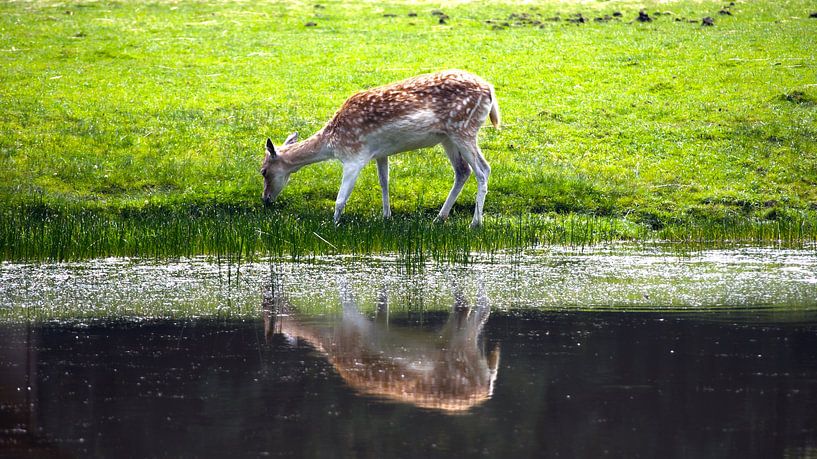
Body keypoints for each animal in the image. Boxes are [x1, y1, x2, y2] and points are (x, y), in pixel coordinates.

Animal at [260, 70, 500, 227]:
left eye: (263, 171)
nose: (265, 199)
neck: (332, 143)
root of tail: (490, 89)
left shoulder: (353, 156)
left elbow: (340, 199)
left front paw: (333, 225)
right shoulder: (380, 154)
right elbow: (384, 182)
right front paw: (386, 216)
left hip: (464, 129)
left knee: (483, 170)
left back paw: (475, 223)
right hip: (447, 137)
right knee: (463, 171)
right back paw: (439, 218)